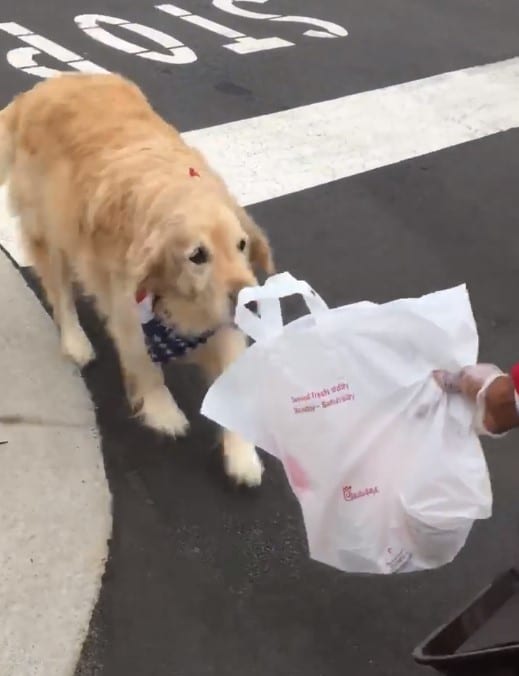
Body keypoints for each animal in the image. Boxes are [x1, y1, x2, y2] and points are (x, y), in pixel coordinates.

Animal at [0, 72, 274, 486]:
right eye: (197, 255)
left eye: (241, 245)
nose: (250, 299)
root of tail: (38, 90)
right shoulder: (128, 306)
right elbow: (144, 363)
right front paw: (162, 410)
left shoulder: (220, 319)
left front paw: (243, 455)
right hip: (50, 228)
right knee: (60, 292)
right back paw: (76, 341)